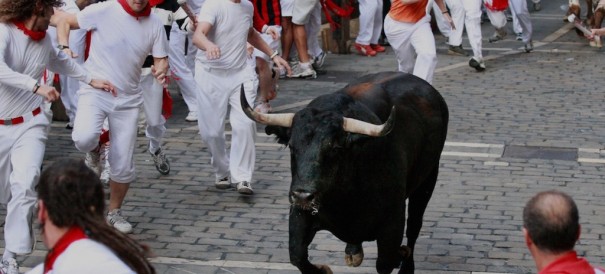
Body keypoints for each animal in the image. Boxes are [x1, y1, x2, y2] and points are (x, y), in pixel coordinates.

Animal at [241, 71, 448, 274]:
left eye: (334, 148)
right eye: (292, 146)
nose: (302, 196)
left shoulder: (392, 225)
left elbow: (385, 262)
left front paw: (401, 255)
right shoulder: (300, 214)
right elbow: (297, 255)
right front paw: (324, 269)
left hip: (428, 179)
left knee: (414, 226)